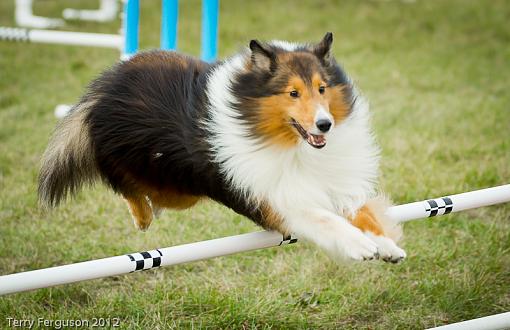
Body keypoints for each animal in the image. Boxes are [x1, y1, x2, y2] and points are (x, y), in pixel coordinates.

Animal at [37, 32, 406, 262]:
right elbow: (326, 219)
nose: (324, 124)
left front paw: (386, 246)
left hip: (180, 187)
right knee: (124, 185)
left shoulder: (333, 183)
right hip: (140, 164)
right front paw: (359, 245)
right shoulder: (278, 199)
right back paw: (142, 218)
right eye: (293, 93)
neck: (291, 146)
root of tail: (105, 85)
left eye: (322, 88)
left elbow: (363, 214)